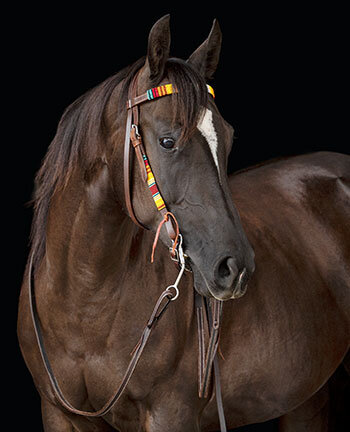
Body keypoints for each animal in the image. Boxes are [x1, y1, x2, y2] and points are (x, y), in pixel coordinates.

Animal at [17, 14, 348, 432]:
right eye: (167, 141)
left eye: (228, 137)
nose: (235, 267)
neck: (85, 305)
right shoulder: (57, 413)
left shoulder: (170, 412)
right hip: (306, 398)